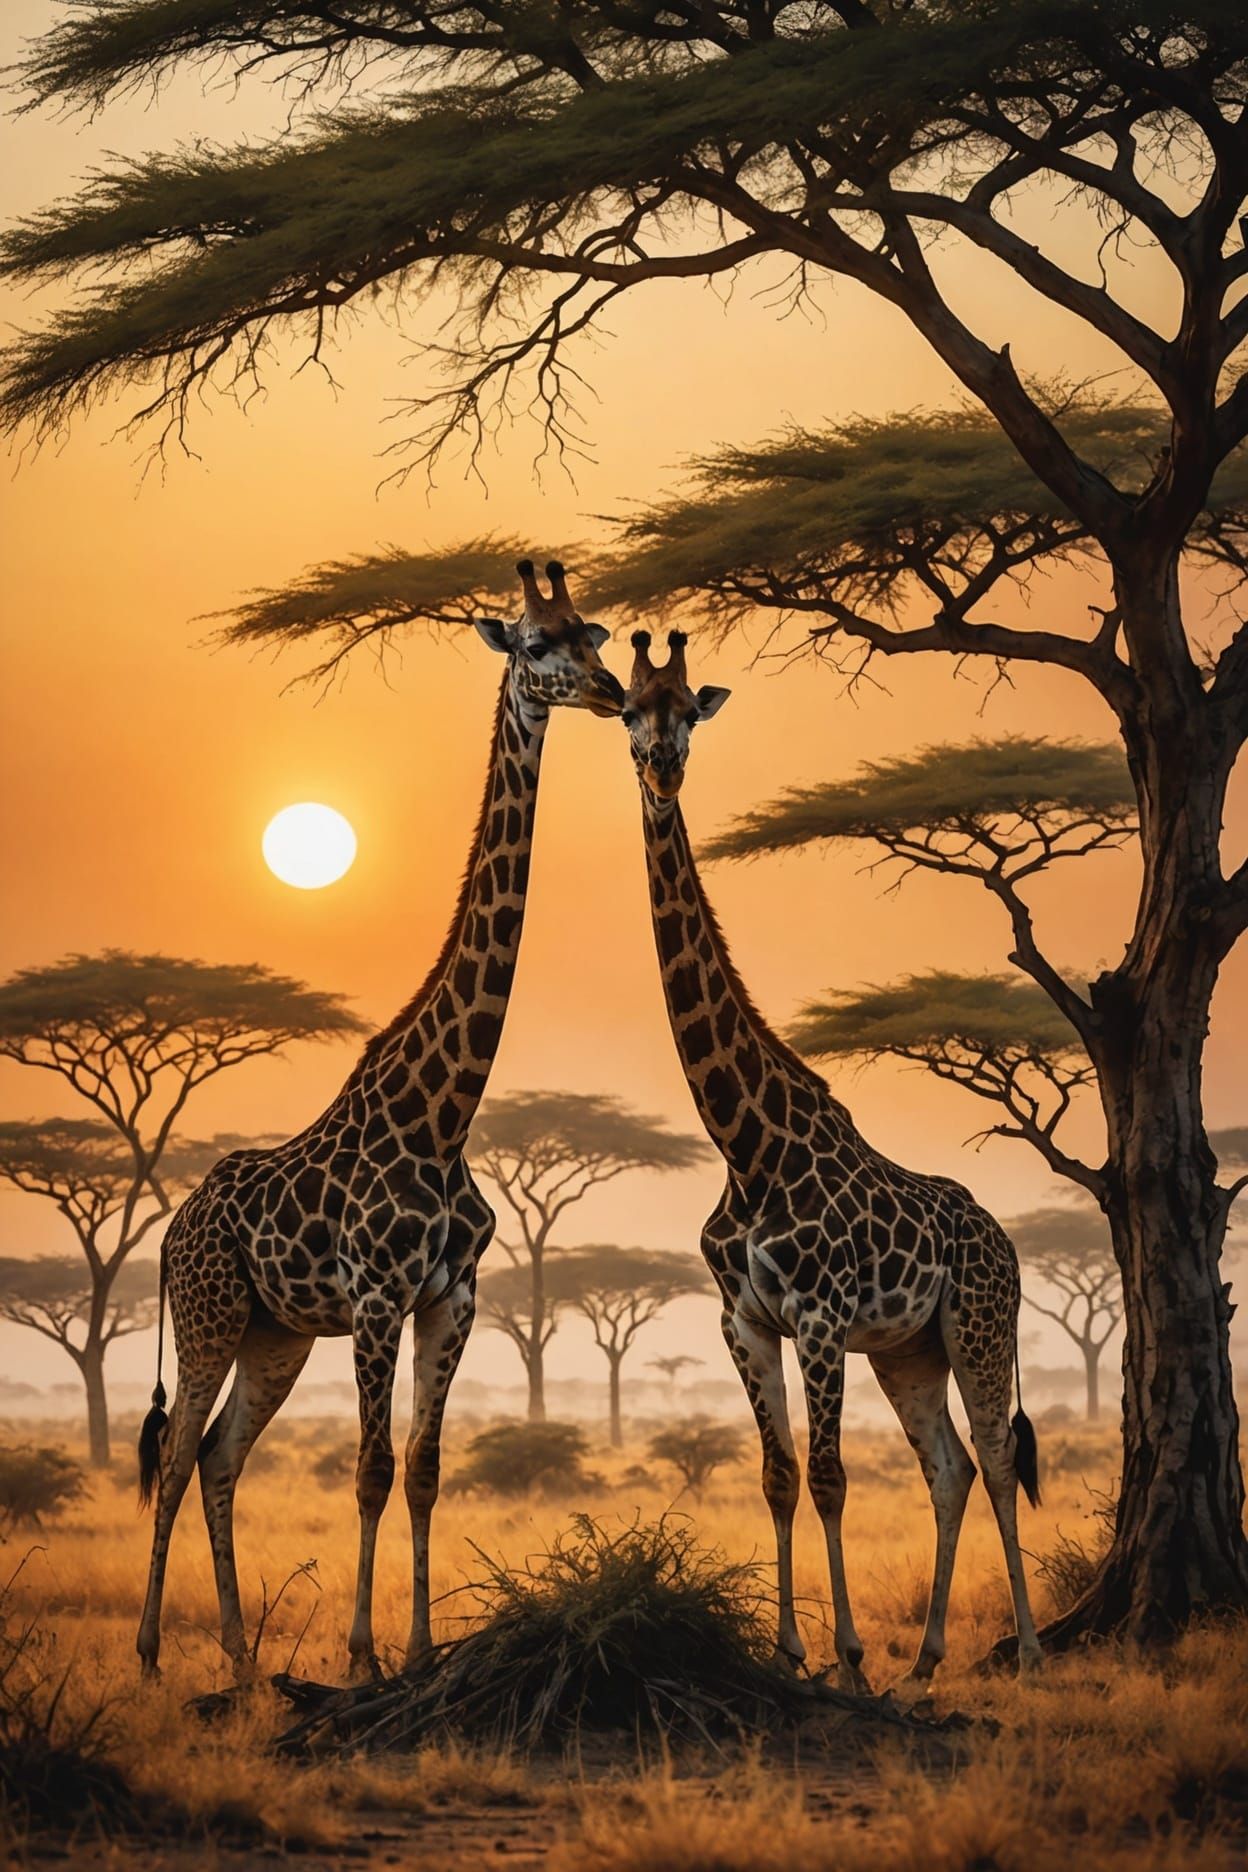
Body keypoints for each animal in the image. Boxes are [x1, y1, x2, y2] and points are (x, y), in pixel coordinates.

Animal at [135, 560, 624, 1682]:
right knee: (177, 1457)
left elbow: (426, 1465)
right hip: (210, 1316)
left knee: (220, 1458)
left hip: (274, 1335)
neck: (446, 1112)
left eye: (597, 633)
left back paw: (239, 1657)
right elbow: (366, 1467)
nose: (615, 693)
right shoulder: (375, 1297)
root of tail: (172, 1229)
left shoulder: (454, 1298)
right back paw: (149, 1654)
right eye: (538, 644)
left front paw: (422, 1647)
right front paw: (362, 1655)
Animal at [620, 628, 1043, 1690]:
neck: (744, 1143)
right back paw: (926, 1659)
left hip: (978, 1328)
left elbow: (830, 1476)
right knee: (950, 1468)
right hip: (907, 1350)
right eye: (627, 710)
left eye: (688, 710)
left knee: (997, 1459)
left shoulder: (818, 1315)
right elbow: (776, 1477)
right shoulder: (742, 1319)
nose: (661, 766)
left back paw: (1027, 1649)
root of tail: (1008, 1243)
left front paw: (847, 1654)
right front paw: (788, 1650)